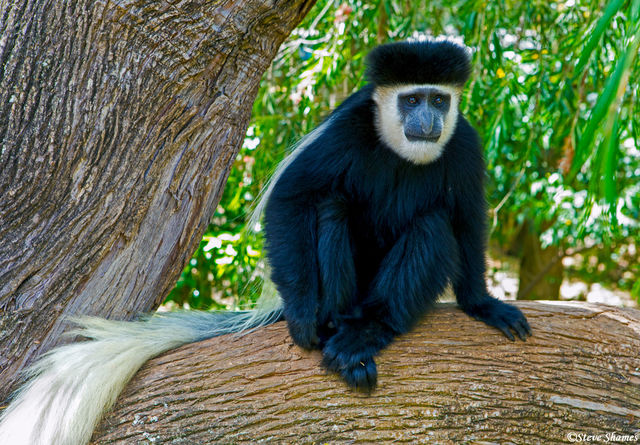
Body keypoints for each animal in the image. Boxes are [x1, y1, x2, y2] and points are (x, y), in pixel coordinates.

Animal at [0, 38, 531, 445]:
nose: (428, 121)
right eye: (412, 100)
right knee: (331, 205)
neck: (402, 151)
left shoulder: (464, 144)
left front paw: (484, 305)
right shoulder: (348, 130)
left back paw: (365, 334)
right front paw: (302, 319)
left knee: (433, 226)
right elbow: (292, 197)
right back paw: (335, 327)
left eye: (439, 100)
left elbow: (467, 220)